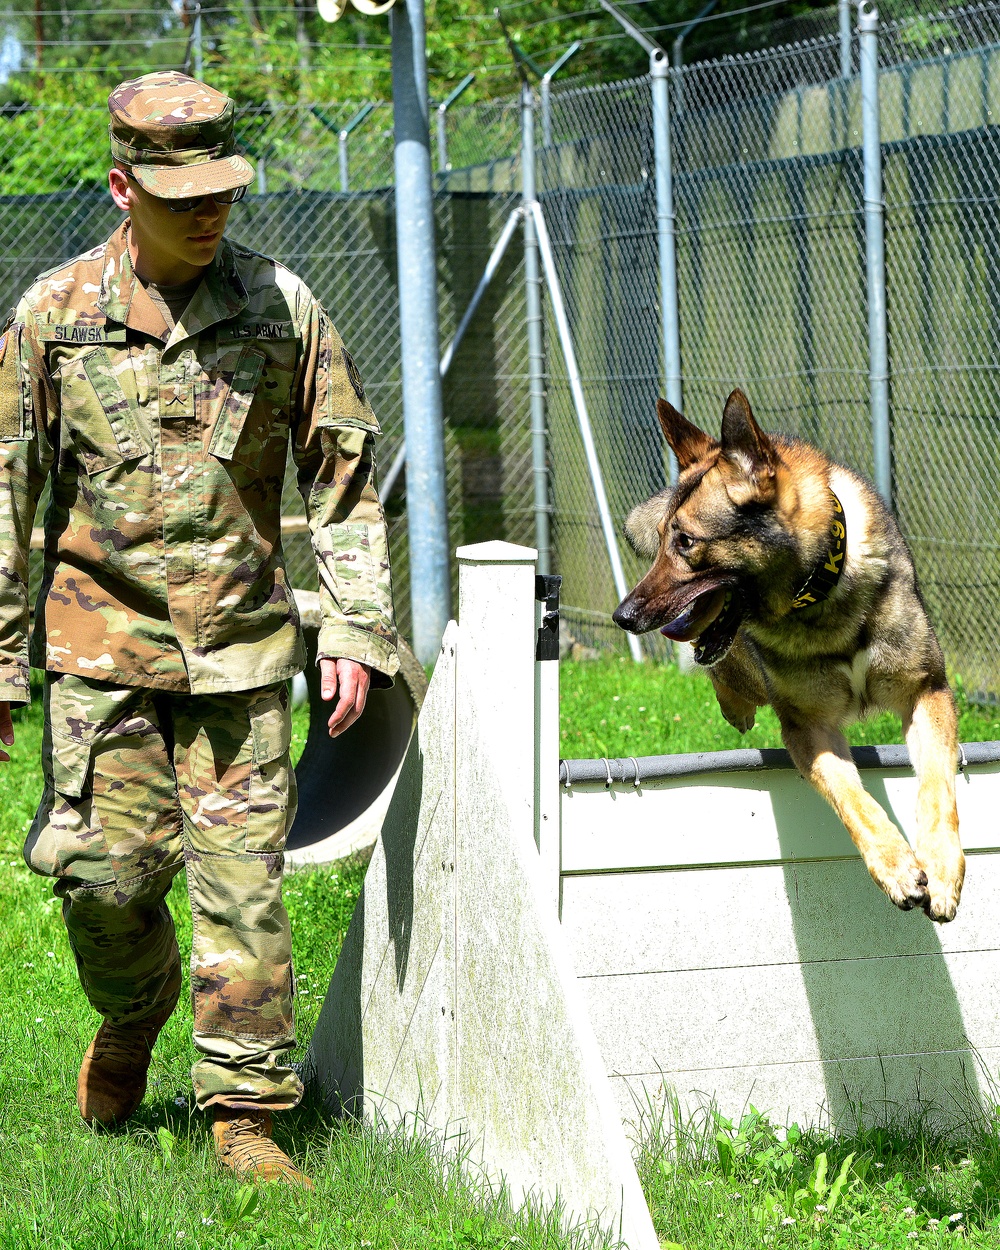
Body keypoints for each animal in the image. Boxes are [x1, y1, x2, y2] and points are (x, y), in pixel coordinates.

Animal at [612, 395, 965, 925]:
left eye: (686, 542)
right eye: (660, 540)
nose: (623, 616)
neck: (823, 591)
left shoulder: (927, 692)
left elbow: (938, 787)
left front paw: (941, 871)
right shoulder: (807, 729)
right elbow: (851, 798)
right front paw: (896, 867)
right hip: (745, 672)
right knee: (723, 673)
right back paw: (735, 708)